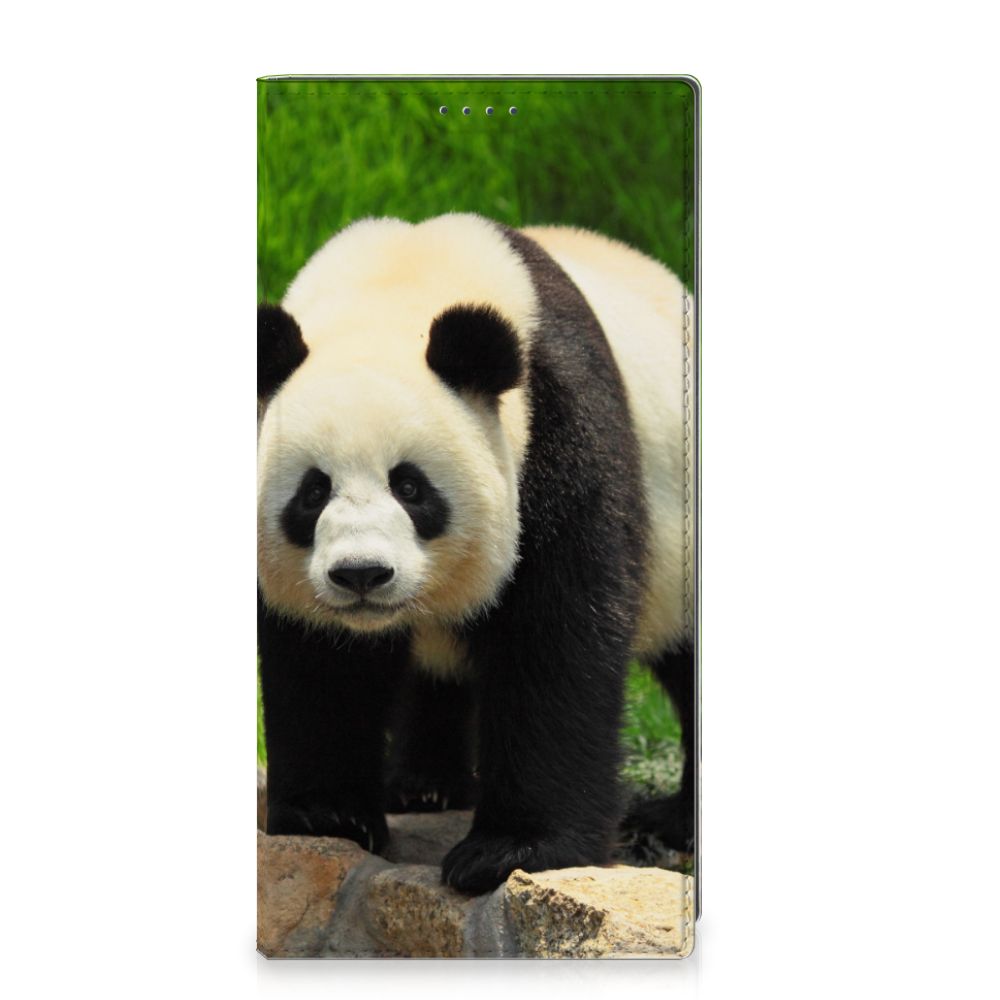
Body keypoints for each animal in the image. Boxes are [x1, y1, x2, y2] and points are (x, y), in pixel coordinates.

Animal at [257, 213, 695, 894]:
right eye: (313, 491)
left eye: (410, 487)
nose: (362, 575)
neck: (396, 286)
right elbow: (319, 660)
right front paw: (325, 815)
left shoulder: (558, 429)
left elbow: (556, 637)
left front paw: (512, 850)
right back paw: (423, 785)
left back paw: (672, 821)